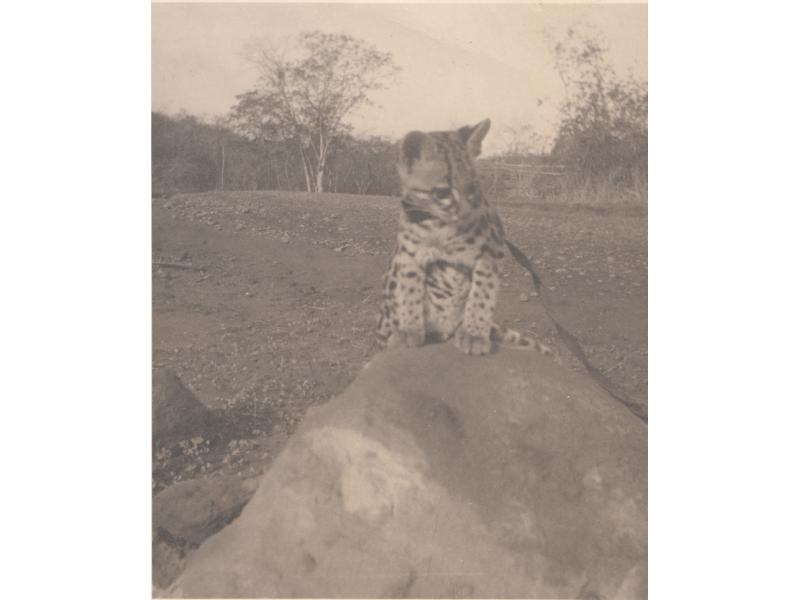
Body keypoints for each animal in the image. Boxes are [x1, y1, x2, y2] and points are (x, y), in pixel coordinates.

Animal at [376, 119, 552, 356]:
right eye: (442, 192)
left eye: (473, 187)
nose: (466, 210)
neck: (438, 225)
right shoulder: (408, 254)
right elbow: (409, 289)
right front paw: (408, 329)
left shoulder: (491, 251)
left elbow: (482, 294)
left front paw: (474, 334)